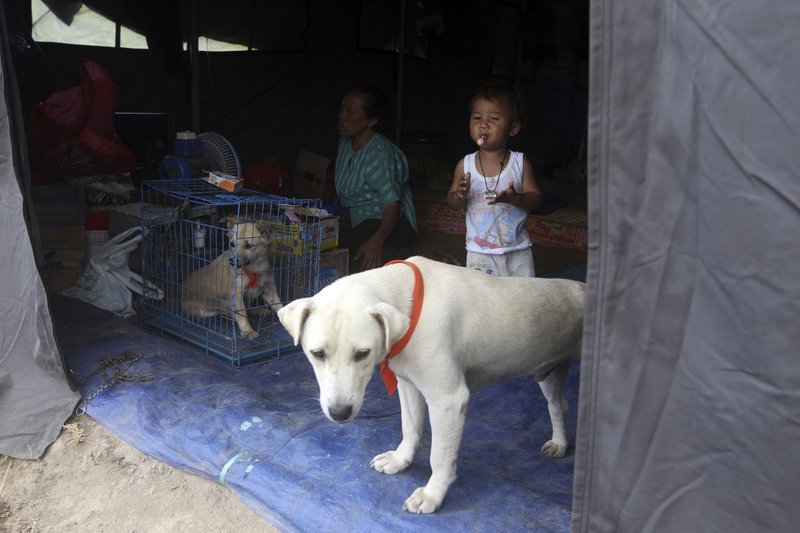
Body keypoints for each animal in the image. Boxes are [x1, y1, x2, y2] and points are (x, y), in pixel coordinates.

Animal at [278, 256, 584, 512]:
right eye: (318, 353)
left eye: (363, 353)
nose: (340, 413)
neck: (411, 302)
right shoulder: (408, 385)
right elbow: (410, 429)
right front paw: (400, 460)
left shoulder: (447, 400)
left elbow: (440, 456)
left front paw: (432, 495)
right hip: (548, 373)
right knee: (558, 405)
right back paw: (559, 443)